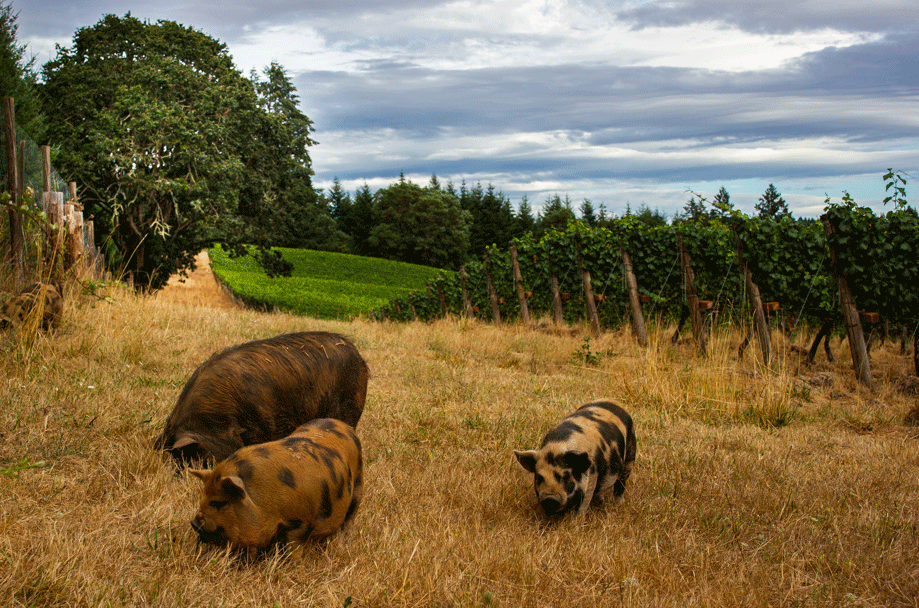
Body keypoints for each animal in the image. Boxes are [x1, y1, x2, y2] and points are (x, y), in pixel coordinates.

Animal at [189, 418, 363, 559]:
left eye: (219, 502)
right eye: (202, 499)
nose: (194, 523)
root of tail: (345, 427)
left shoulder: (302, 521)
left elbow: (294, 546)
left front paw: (292, 564)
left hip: (358, 486)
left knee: (350, 517)